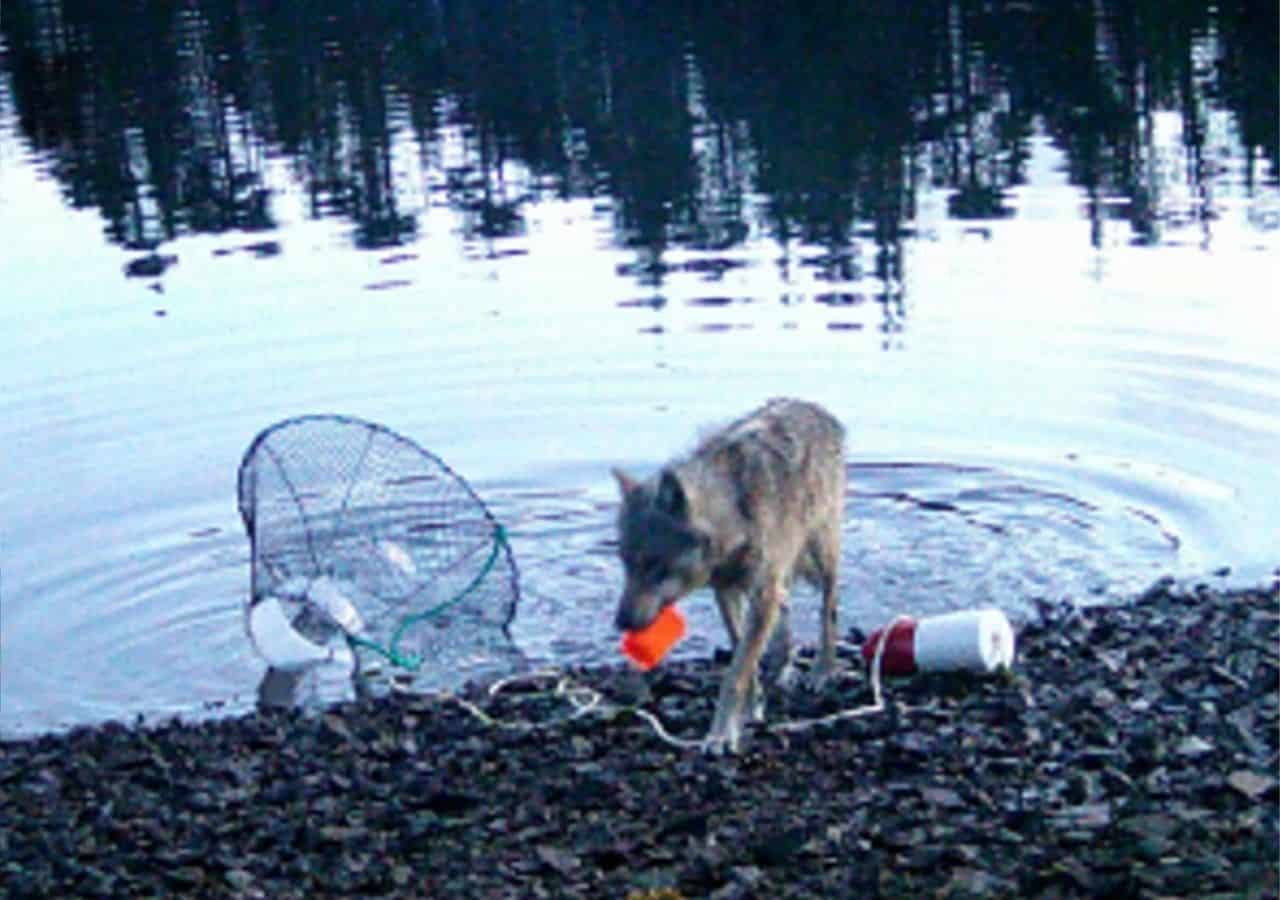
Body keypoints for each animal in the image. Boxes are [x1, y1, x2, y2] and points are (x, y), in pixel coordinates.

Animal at [612, 397, 846, 754]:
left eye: (653, 565)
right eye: (625, 562)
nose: (621, 623)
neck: (734, 512)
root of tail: (816, 408)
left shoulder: (761, 592)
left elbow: (735, 673)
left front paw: (721, 734)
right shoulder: (726, 592)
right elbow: (742, 656)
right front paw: (752, 709)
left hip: (821, 554)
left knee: (828, 608)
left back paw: (823, 670)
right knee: (786, 609)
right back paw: (784, 664)